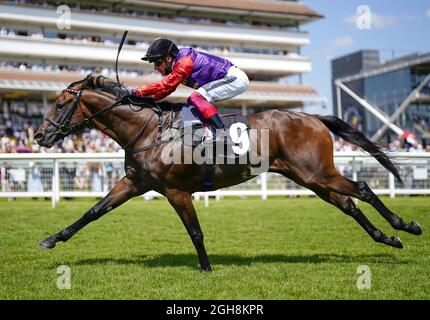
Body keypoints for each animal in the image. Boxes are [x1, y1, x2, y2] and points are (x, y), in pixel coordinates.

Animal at [34, 75, 424, 272]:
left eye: (61, 104)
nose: (39, 136)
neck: (148, 131)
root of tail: (314, 117)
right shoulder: (134, 182)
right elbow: (93, 211)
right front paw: (52, 239)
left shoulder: (176, 191)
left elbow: (195, 231)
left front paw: (206, 269)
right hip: (309, 178)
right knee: (350, 204)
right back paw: (388, 238)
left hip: (317, 173)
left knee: (362, 188)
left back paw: (406, 225)